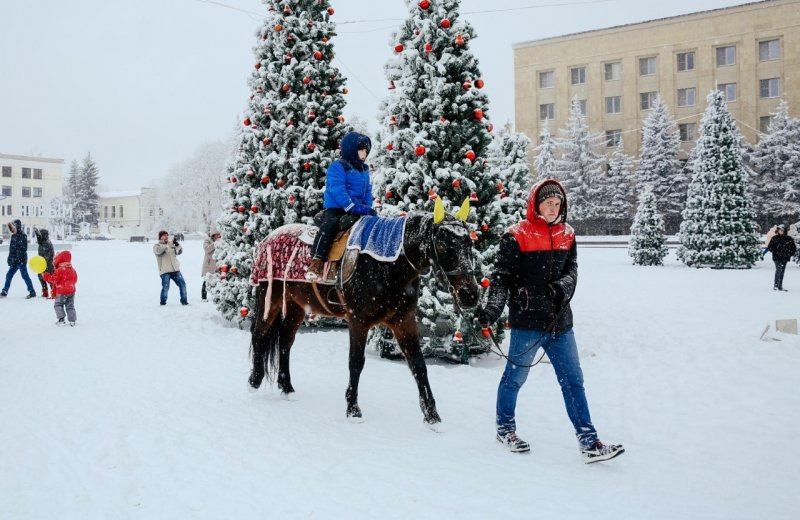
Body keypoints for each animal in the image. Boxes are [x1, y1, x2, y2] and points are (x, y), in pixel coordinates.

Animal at [247, 210, 478, 426]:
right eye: (443, 244)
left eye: (469, 243)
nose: (471, 294)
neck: (388, 264)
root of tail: (267, 239)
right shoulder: (358, 321)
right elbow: (356, 362)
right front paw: (353, 410)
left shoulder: (404, 321)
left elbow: (418, 365)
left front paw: (432, 417)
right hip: (271, 298)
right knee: (259, 334)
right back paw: (254, 381)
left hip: (297, 306)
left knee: (285, 342)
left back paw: (287, 387)